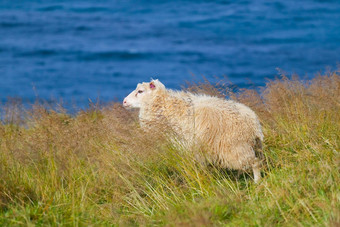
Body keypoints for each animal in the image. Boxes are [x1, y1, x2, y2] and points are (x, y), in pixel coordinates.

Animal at [123, 79, 264, 183]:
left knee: (255, 163)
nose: (124, 101)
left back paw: (257, 182)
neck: (165, 105)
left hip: (235, 148)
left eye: (140, 91)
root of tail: (254, 125)